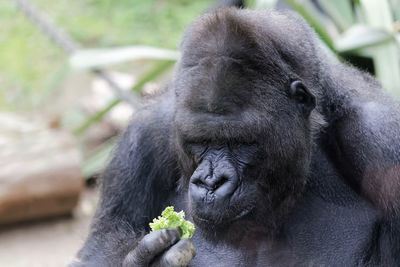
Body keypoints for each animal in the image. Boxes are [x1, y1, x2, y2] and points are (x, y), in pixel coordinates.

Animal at [72, 4, 400, 267]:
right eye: (200, 142)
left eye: (242, 142)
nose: (211, 181)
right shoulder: (144, 137)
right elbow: (98, 252)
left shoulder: (383, 139)